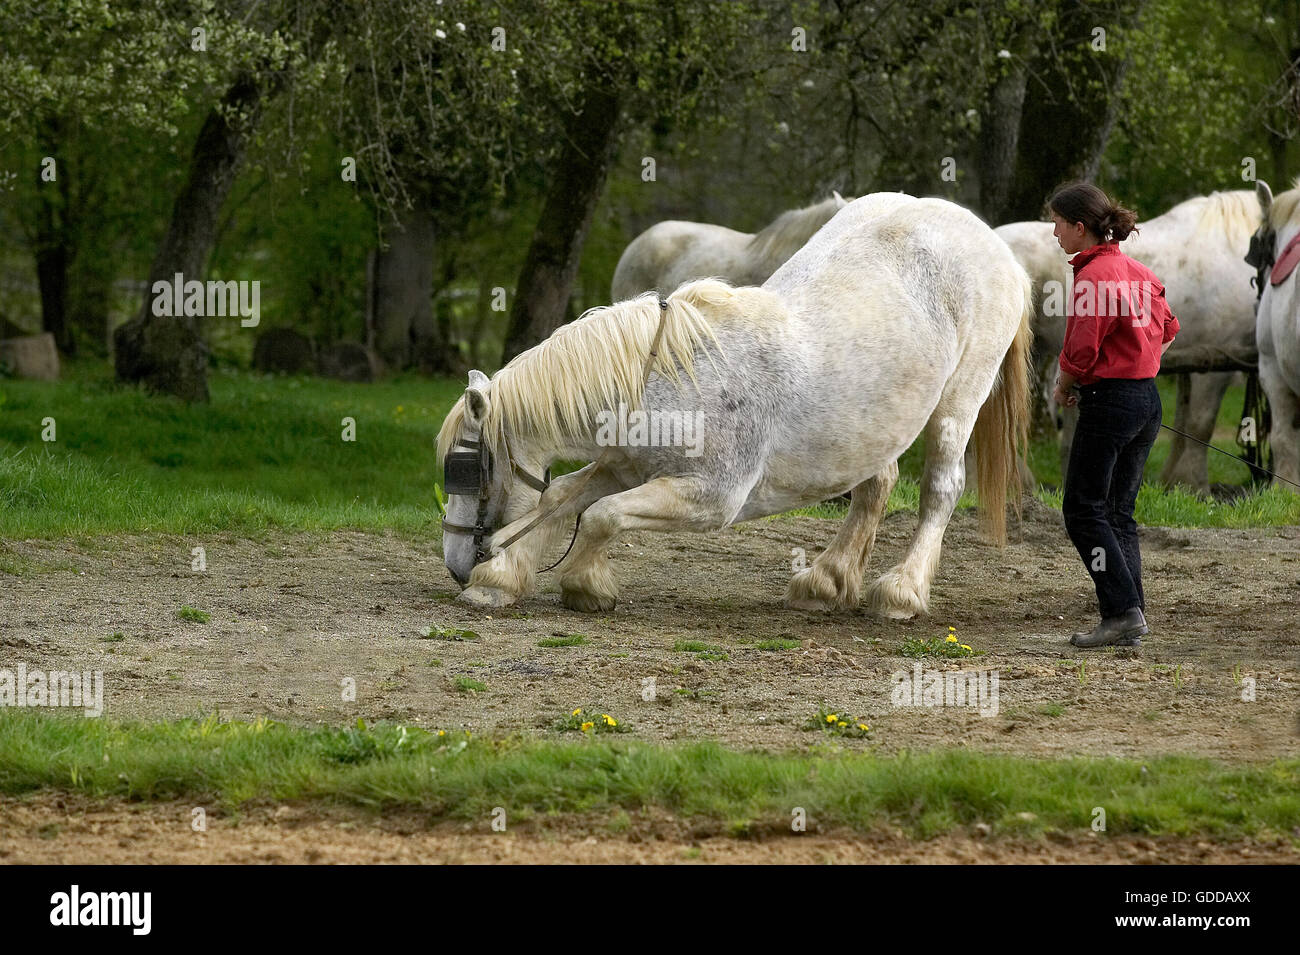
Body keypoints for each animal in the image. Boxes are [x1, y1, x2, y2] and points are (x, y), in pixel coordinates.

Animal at [997, 190, 1261, 491]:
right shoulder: (1219, 360)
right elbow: (1201, 424)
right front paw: (1195, 484)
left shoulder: (1197, 359)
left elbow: (1184, 421)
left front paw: (1174, 481)